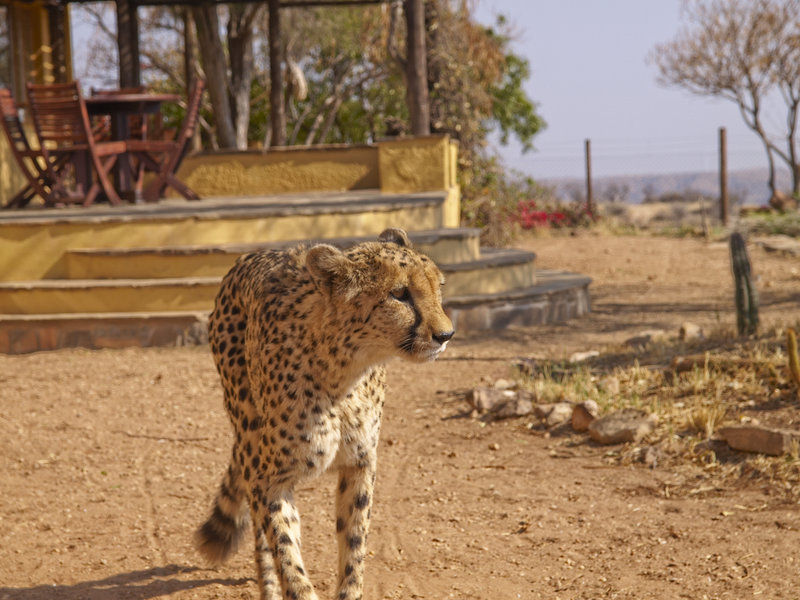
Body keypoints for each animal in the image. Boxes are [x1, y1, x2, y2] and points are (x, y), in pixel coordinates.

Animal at [196, 228, 454, 600]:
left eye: (439, 287)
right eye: (399, 294)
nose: (446, 334)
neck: (343, 374)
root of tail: (253, 256)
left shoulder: (360, 462)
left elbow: (354, 543)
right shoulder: (269, 479)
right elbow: (286, 551)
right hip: (248, 432)